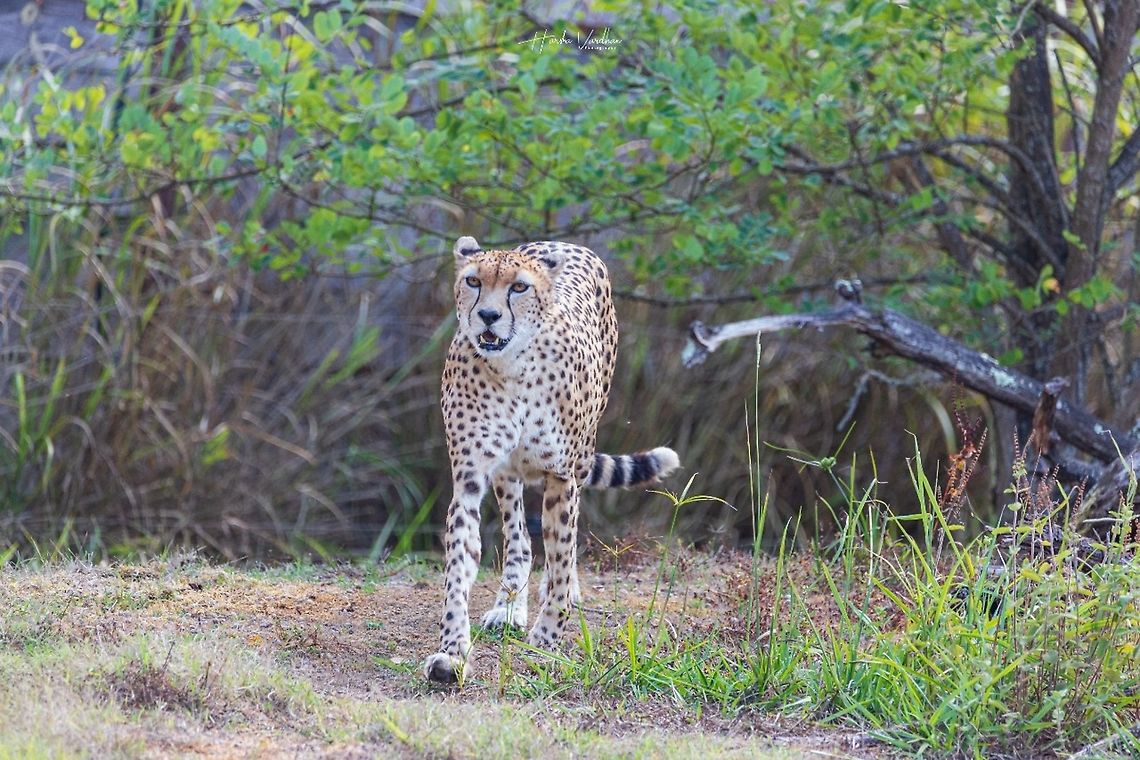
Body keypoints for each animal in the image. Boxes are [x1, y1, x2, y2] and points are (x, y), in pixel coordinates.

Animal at [423, 236, 681, 684]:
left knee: (564, 543)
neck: (510, 368)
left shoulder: (561, 476)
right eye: (473, 281)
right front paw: (451, 653)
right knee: (519, 538)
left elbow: (560, 556)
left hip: (580, 454)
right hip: (507, 475)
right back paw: (509, 607)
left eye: (519, 287)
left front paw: (546, 638)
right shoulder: (470, 477)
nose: (488, 316)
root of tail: (561, 243)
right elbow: (459, 566)